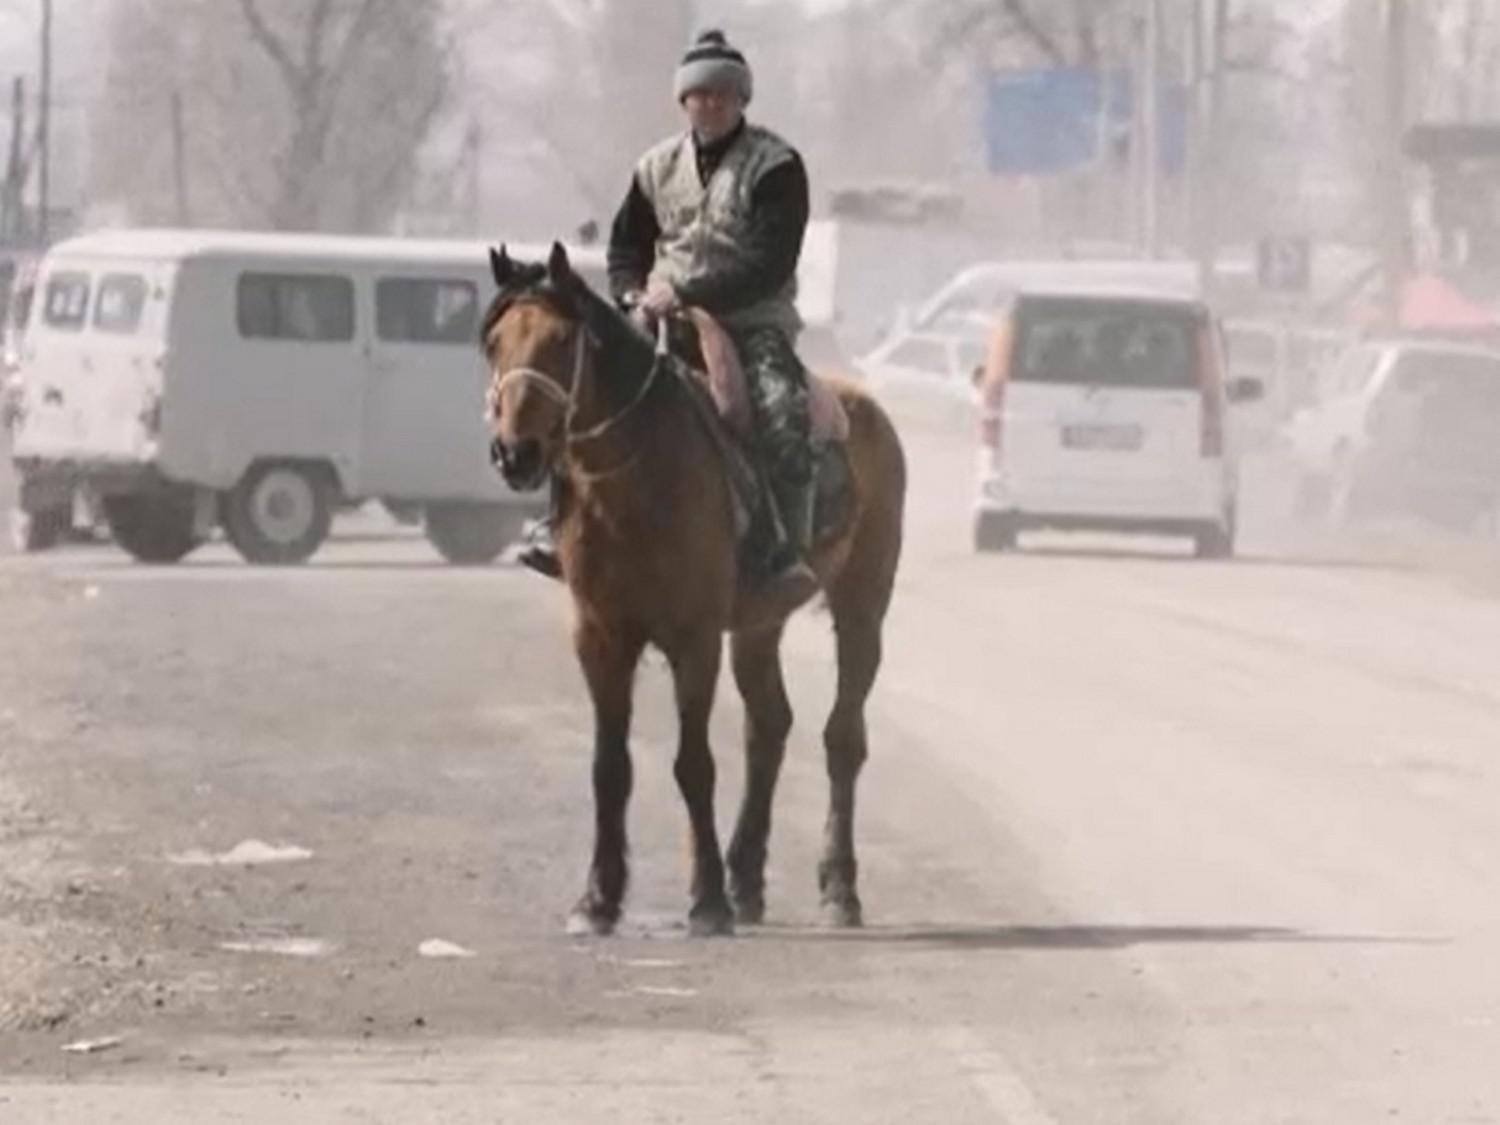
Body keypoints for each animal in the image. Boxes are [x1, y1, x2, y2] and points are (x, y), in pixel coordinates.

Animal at [483, 244, 900, 936]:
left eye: (561, 339)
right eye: (494, 342)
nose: (514, 452)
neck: (636, 482)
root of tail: (864, 408)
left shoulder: (694, 639)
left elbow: (693, 764)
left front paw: (705, 899)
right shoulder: (599, 639)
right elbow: (609, 769)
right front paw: (597, 900)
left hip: (862, 608)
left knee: (843, 739)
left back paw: (837, 888)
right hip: (759, 626)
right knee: (768, 727)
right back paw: (747, 879)